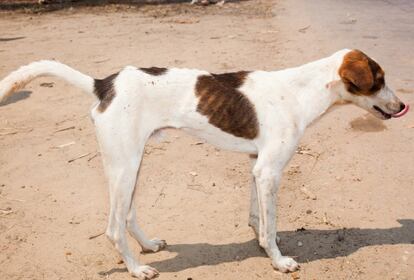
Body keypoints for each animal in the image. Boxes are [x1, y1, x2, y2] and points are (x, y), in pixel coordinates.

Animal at [0, 49, 408, 278]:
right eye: (379, 80)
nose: (403, 105)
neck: (300, 91)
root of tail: (104, 84)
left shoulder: (257, 166)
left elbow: (258, 218)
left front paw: (262, 240)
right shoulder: (269, 171)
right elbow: (270, 226)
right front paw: (278, 260)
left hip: (132, 164)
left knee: (128, 216)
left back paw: (148, 246)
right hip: (124, 166)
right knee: (113, 228)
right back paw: (137, 269)